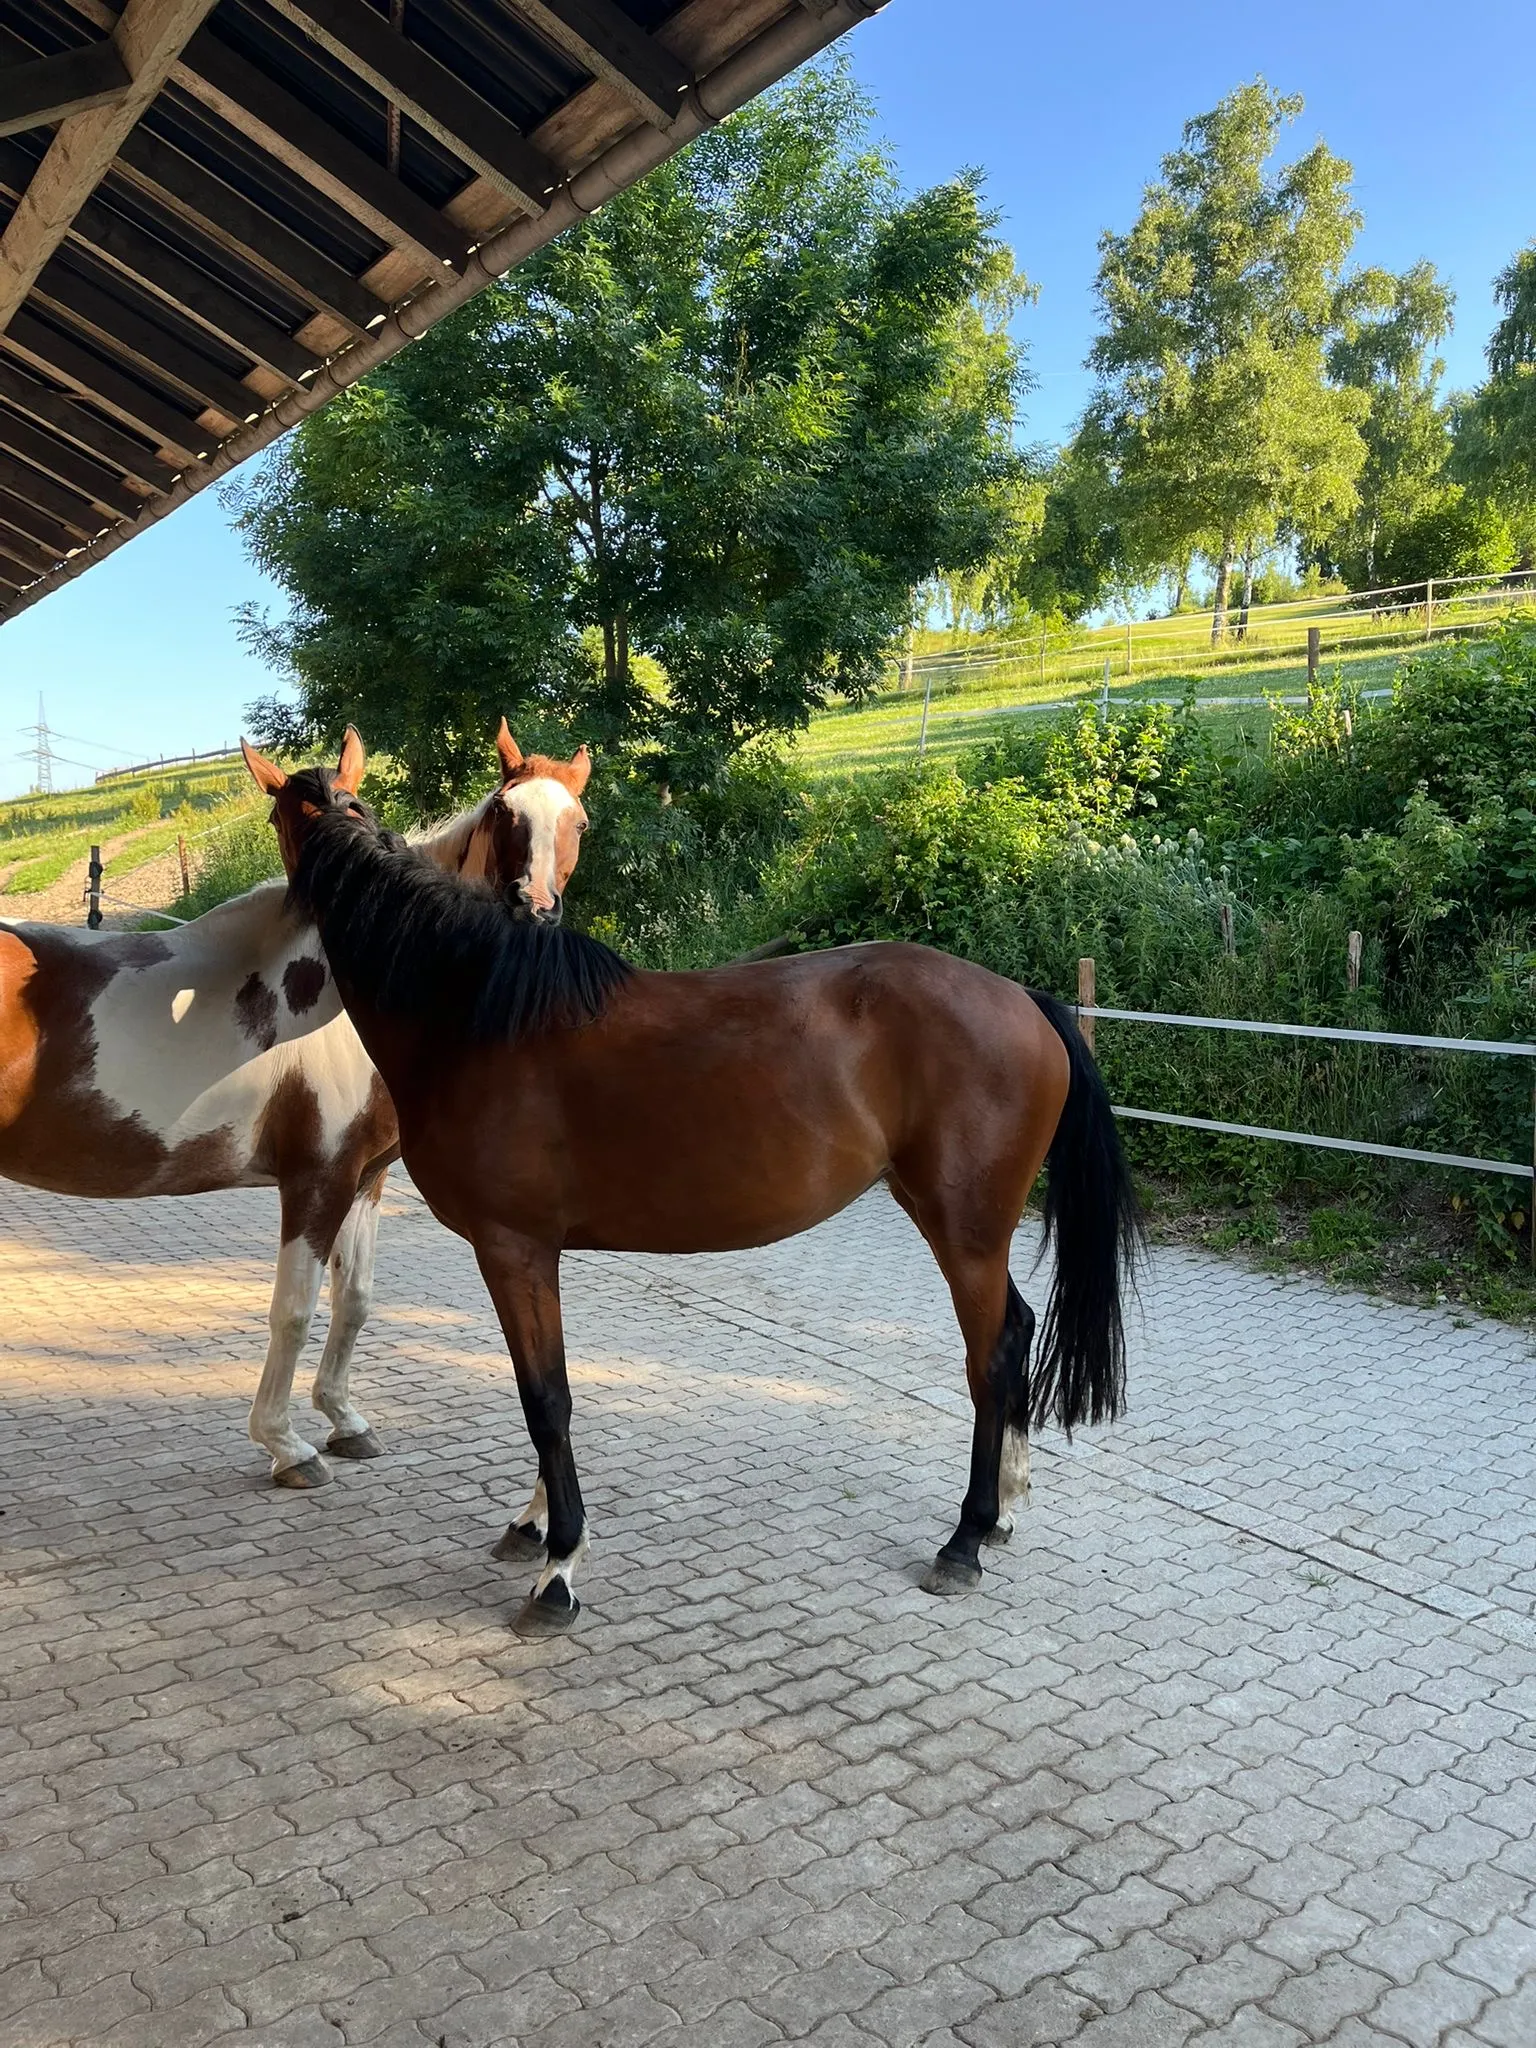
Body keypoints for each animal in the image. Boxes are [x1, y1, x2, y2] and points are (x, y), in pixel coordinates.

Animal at [0, 720, 590, 1488]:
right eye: (501, 812)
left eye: (578, 821)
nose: (534, 910)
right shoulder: (316, 1179)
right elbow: (294, 1311)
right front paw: (285, 1445)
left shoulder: (366, 1177)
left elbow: (355, 1299)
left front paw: (345, 1420)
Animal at [243, 730, 1142, 1633]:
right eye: (503, 816)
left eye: (280, 821)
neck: (478, 1011)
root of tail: (1025, 999)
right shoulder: (535, 1254)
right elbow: (549, 1396)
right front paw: (536, 1528)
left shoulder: (513, 1249)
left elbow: (547, 1400)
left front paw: (560, 1565)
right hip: (957, 1222)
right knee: (1017, 1331)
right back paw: (1004, 1510)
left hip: (966, 1230)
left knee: (991, 1356)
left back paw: (964, 1539)